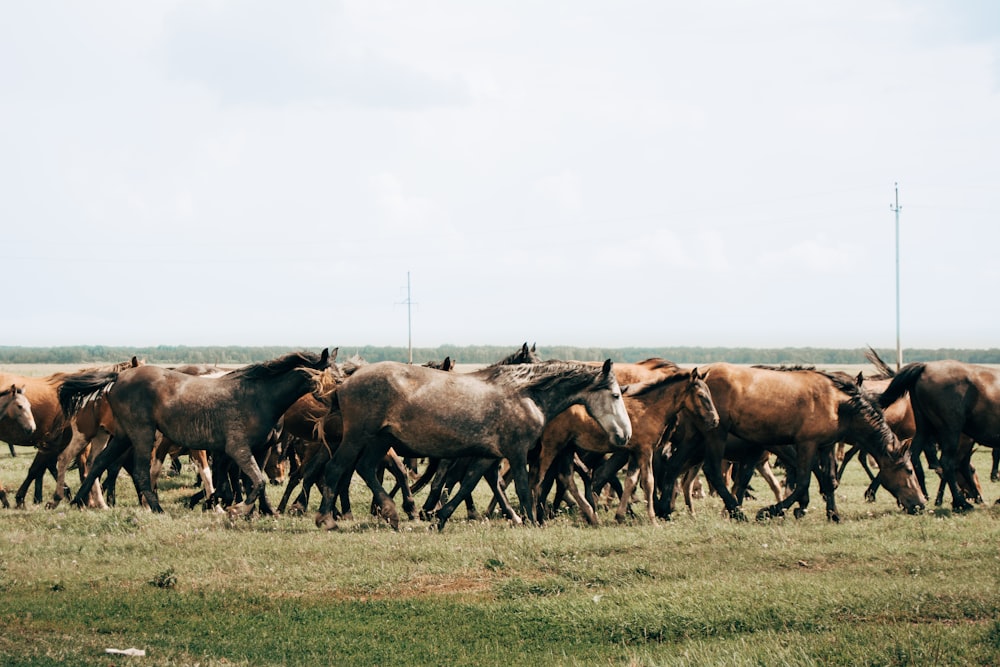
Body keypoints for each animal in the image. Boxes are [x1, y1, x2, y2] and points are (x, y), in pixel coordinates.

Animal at [61, 350, 336, 516]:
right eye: (331, 376)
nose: (337, 401)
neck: (259, 397)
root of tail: (118, 378)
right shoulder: (236, 448)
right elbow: (256, 481)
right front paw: (236, 509)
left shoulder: (257, 450)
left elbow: (254, 483)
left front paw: (265, 511)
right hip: (141, 434)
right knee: (138, 471)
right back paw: (157, 508)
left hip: (121, 435)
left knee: (99, 463)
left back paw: (77, 501)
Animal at [532, 368, 720, 524]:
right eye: (701, 395)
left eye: (710, 393)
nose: (715, 420)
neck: (649, 409)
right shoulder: (645, 451)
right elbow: (648, 482)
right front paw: (653, 520)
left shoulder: (634, 452)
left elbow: (630, 481)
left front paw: (620, 516)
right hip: (552, 446)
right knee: (540, 478)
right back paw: (537, 517)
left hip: (567, 449)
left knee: (566, 478)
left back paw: (591, 516)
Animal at [656, 362, 920, 524]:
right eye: (908, 470)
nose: (920, 504)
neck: (838, 403)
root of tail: (703, 374)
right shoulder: (805, 444)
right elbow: (803, 482)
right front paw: (771, 511)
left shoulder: (825, 446)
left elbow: (829, 480)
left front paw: (833, 514)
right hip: (715, 435)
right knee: (712, 471)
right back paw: (736, 512)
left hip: (695, 437)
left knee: (673, 467)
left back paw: (664, 509)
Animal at [880, 360, 1000, 512]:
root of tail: (925, 366)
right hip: (951, 431)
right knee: (949, 463)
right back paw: (961, 503)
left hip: (924, 428)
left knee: (914, 457)